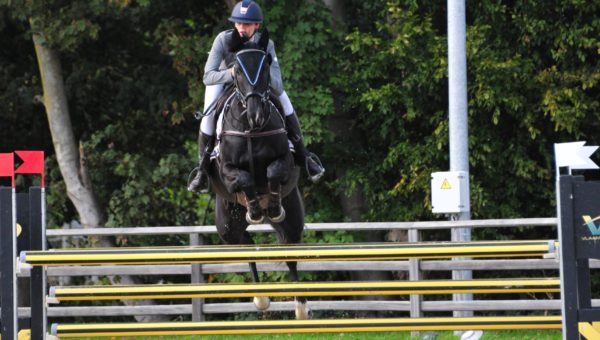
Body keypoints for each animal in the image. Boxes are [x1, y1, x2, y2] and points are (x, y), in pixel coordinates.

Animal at [206, 29, 310, 318]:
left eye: (265, 68)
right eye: (237, 70)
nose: (255, 116)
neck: (250, 130)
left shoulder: (285, 160)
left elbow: (274, 172)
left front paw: (271, 206)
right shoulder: (226, 170)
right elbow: (244, 178)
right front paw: (254, 207)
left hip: (293, 218)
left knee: (288, 250)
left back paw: (301, 307)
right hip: (227, 226)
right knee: (245, 246)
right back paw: (261, 299)